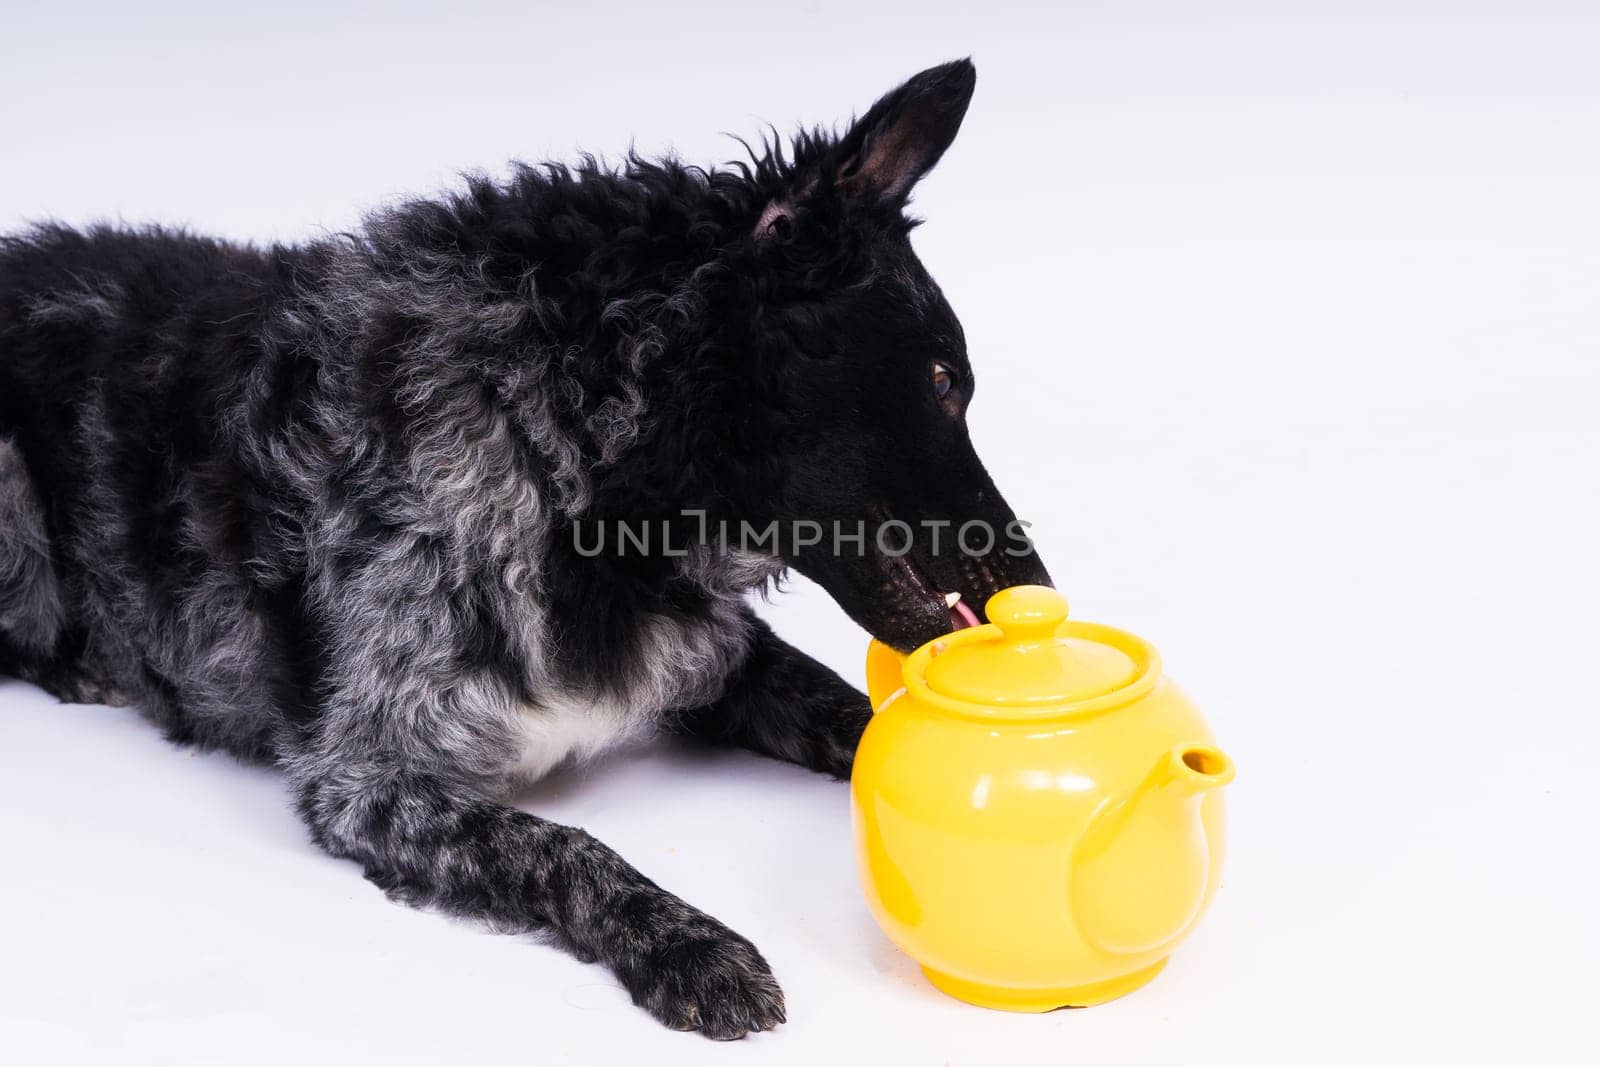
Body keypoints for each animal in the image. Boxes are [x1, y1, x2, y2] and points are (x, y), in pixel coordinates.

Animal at [0, 62, 1049, 1036]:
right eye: (943, 379)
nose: (1036, 587)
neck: (571, 454)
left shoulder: (715, 654)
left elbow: (856, 717)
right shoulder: (372, 777)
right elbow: (568, 847)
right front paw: (692, 947)